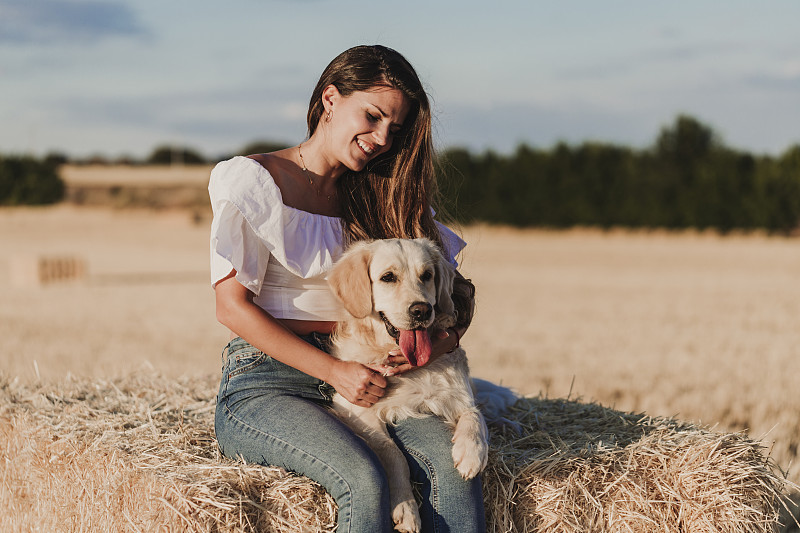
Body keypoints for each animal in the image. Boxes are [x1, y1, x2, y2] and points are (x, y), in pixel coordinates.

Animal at [324, 239, 488, 532]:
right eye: (388, 277)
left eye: (427, 275)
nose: (421, 310)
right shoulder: (356, 409)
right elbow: (392, 453)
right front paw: (406, 509)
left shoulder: (458, 395)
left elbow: (475, 416)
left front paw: (471, 453)